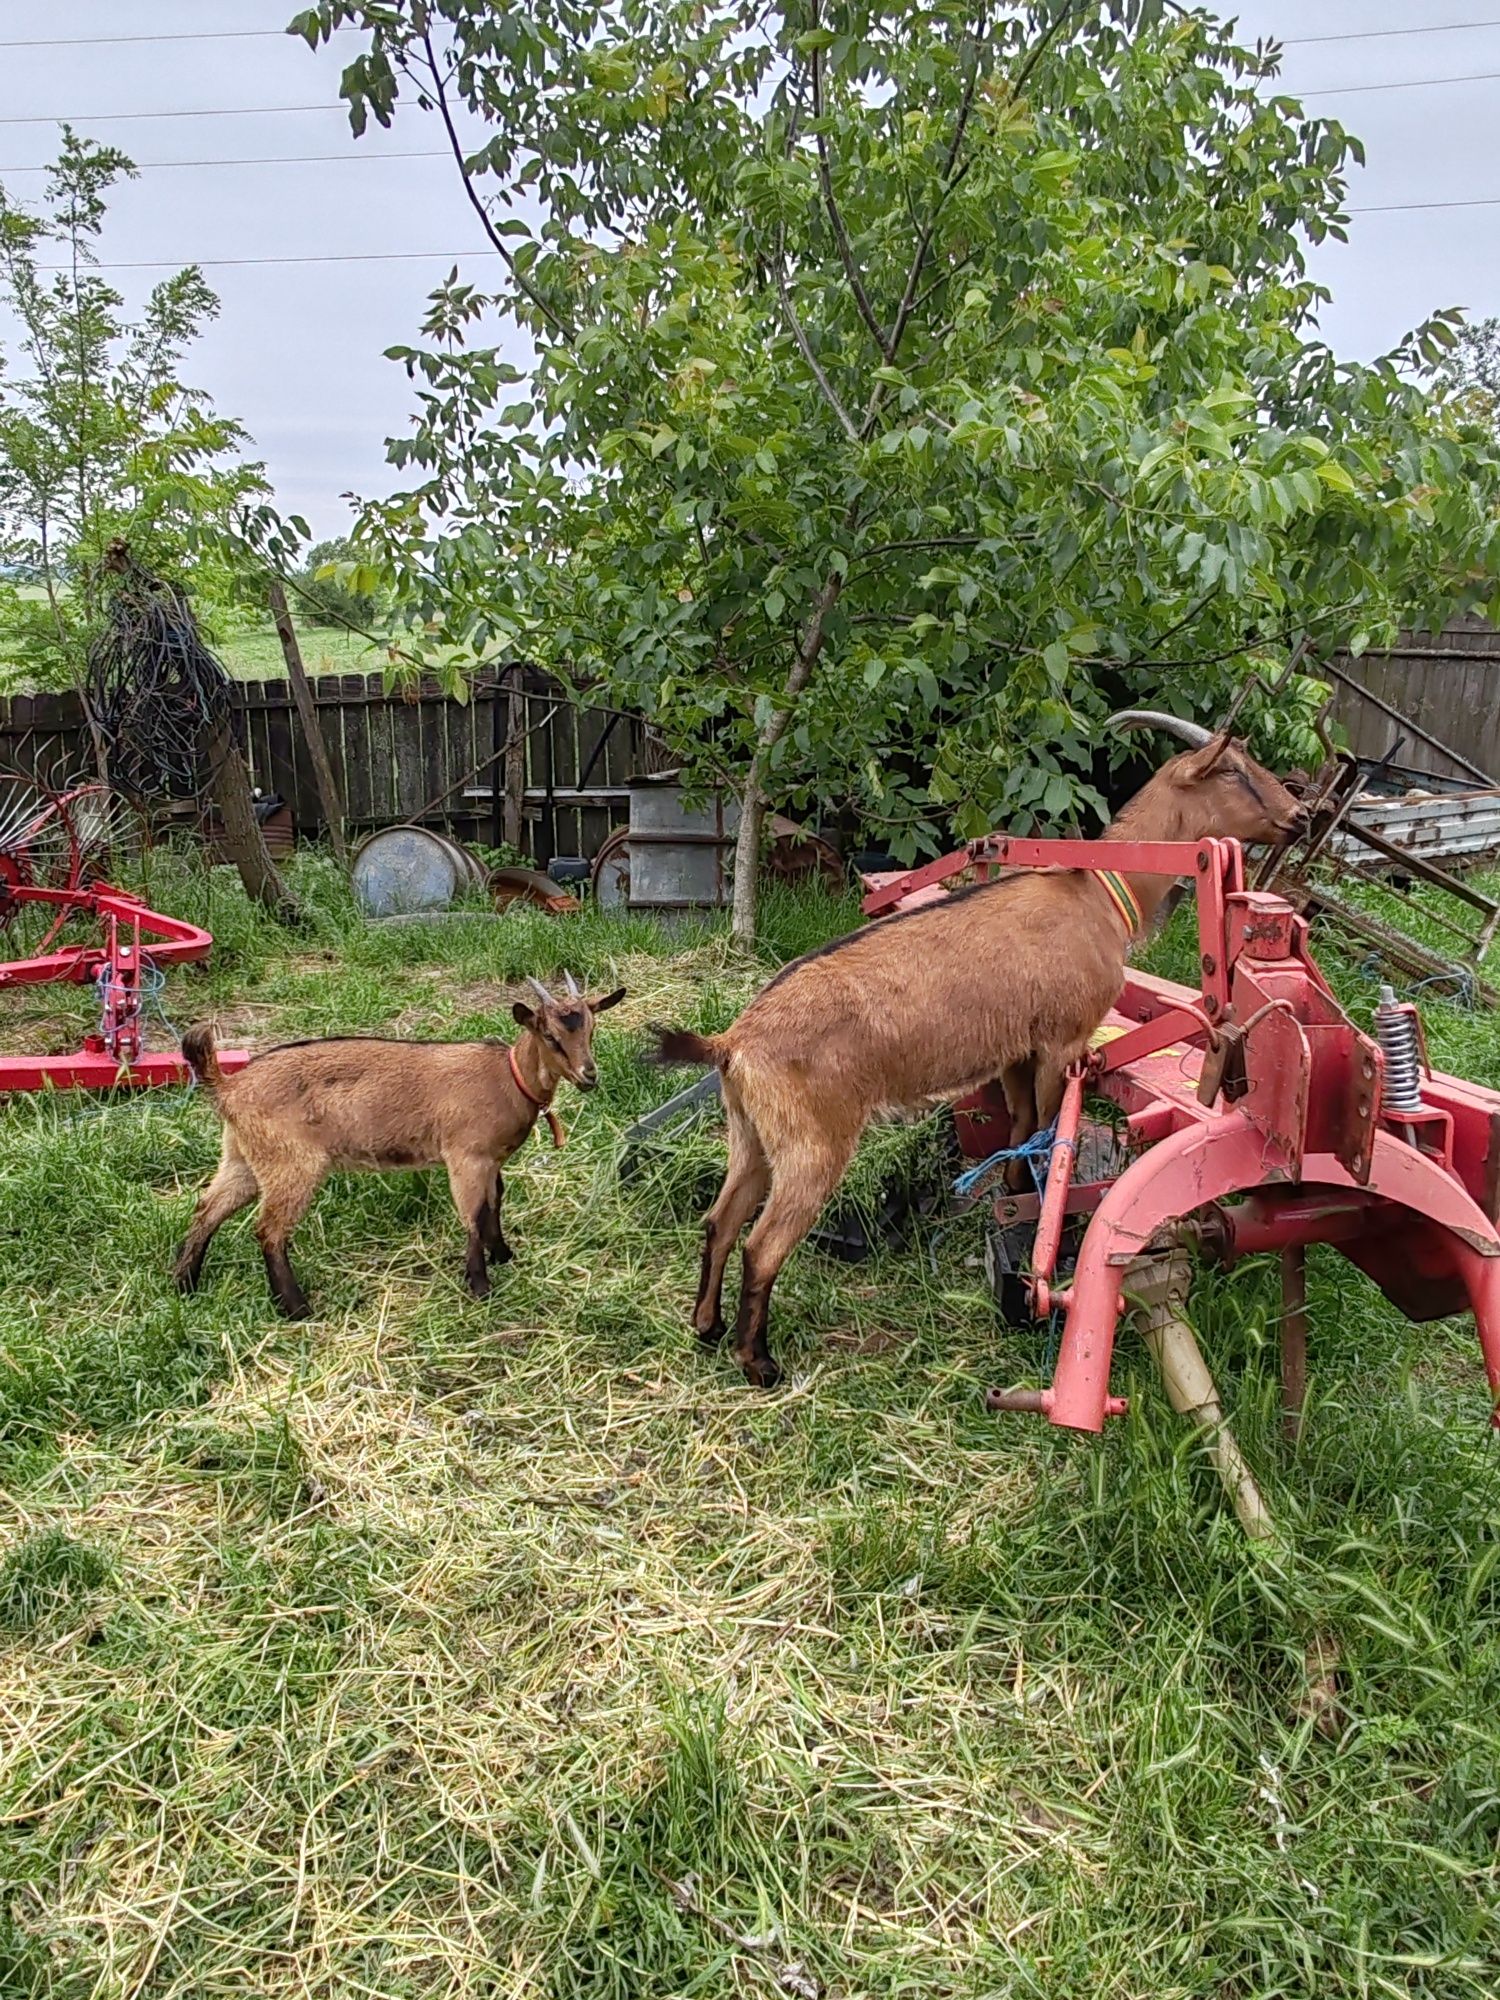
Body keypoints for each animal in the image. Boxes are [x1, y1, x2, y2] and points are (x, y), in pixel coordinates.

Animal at [173, 976, 624, 1320]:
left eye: (591, 1030)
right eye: (550, 1036)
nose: (589, 1075)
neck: (508, 1079)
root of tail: (229, 1087)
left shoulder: (492, 1160)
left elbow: (496, 1200)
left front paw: (503, 1254)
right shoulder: (466, 1155)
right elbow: (473, 1215)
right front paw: (480, 1286)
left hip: (244, 1156)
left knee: (207, 1208)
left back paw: (184, 1284)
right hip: (293, 1162)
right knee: (269, 1230)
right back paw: (297, 1308)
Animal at [656, 720, 1304, 1392]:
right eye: (1233, 770)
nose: (1301, 816)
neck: (1099, 894)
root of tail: (733, 1044)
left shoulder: (1015, 1051)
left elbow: (1019, 1126)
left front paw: (1010, 1199)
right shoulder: (1061, 1040)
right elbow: (1046, 1129)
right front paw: (1035, 1225)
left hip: (752, 1135)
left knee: (720, 1221)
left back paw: (706, 1326)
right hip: (813, 1143)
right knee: (761, 1245)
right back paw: (758, 1362)